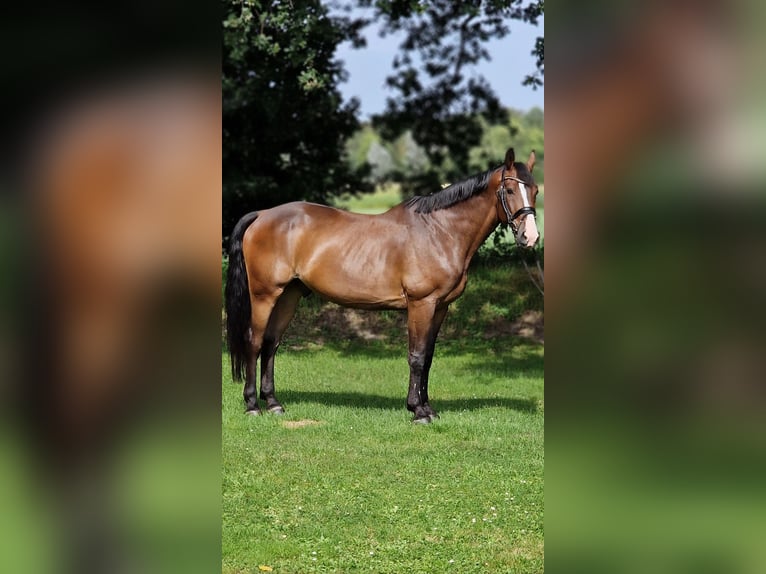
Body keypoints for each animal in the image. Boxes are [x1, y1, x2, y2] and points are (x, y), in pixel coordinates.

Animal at [225, 147, 544, 428]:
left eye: (536, 191)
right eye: (510, 190)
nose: (530, 237)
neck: (439, 231)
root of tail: (262, 214)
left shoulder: (440, 307)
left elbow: (428, 357)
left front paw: (427, 408)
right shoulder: (421, 304)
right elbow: (416, 357)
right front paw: (418, 412)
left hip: (289, 295)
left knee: (271, 344)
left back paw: (273, 403)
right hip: (265, 295)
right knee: (254, 341)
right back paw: (252, 405)